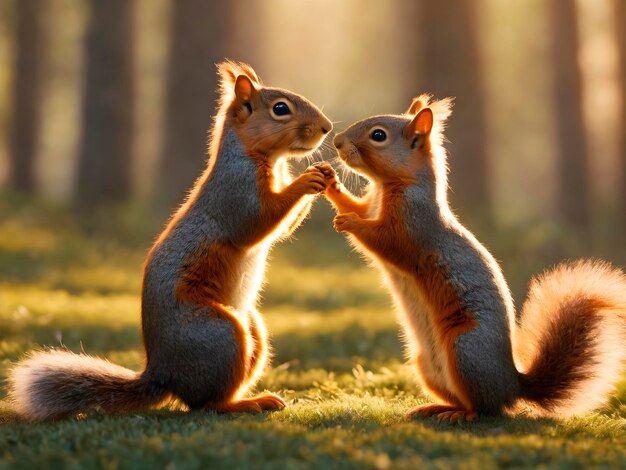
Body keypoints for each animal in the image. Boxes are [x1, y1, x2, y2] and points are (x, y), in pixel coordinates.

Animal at [8, 59, 332, 422]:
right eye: (280, 109)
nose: (327, 128)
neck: (258, 157)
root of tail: (164, 375)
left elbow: (285, 228)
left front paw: (324, 175)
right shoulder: (234, 194)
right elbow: (258, 223)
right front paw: (308, 179)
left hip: (252, 330)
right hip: (220, 334)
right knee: (207, 404)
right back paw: (247, 403)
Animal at [316, 94, 624, 422]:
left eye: (378, 135)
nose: (337, 141)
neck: (390, 187)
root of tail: (512, 385)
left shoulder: (413, 226)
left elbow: (384, 241)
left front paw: (349, 222)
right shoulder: (371, 205)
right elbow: (356, 206)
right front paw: (331, 183)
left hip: (466, 350)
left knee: (487, 408)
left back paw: (463, 415)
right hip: (427, 364)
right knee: (460, 397)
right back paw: (437, 407)